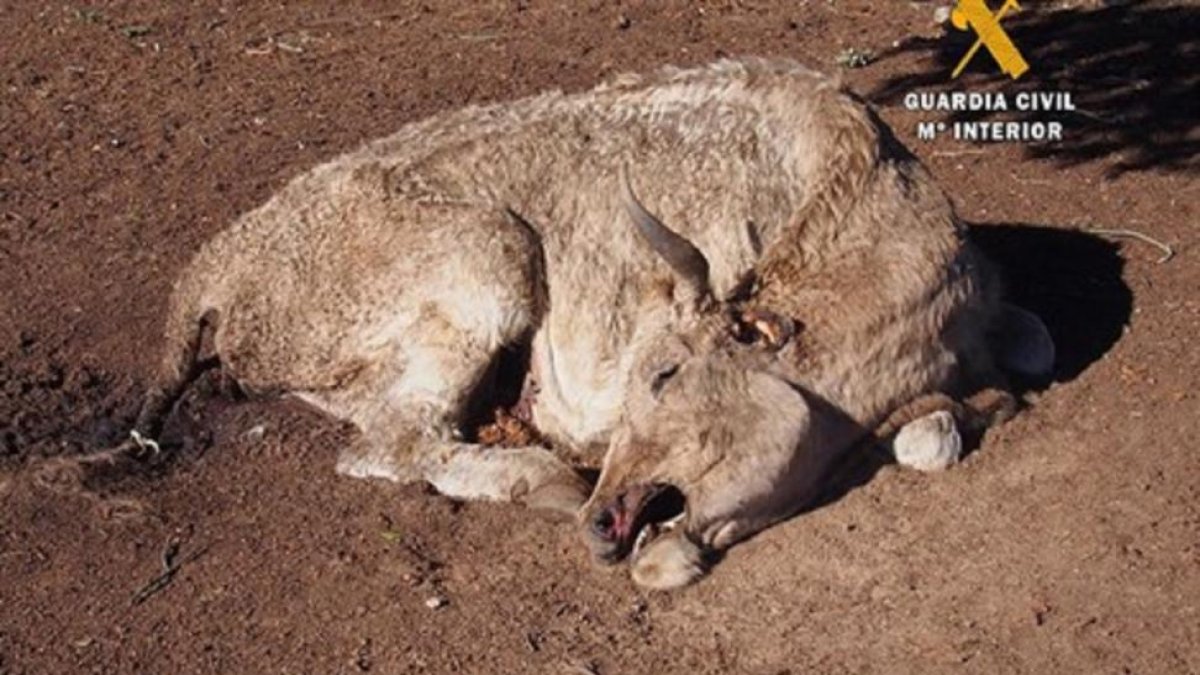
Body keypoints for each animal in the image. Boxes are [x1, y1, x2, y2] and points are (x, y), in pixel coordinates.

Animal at [82, 58, 1053, 589]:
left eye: (667, 374)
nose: (603, 517)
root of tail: (215, 267)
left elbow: (1015, 360)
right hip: (491, 254)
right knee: (388, 443)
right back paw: (539, 475)